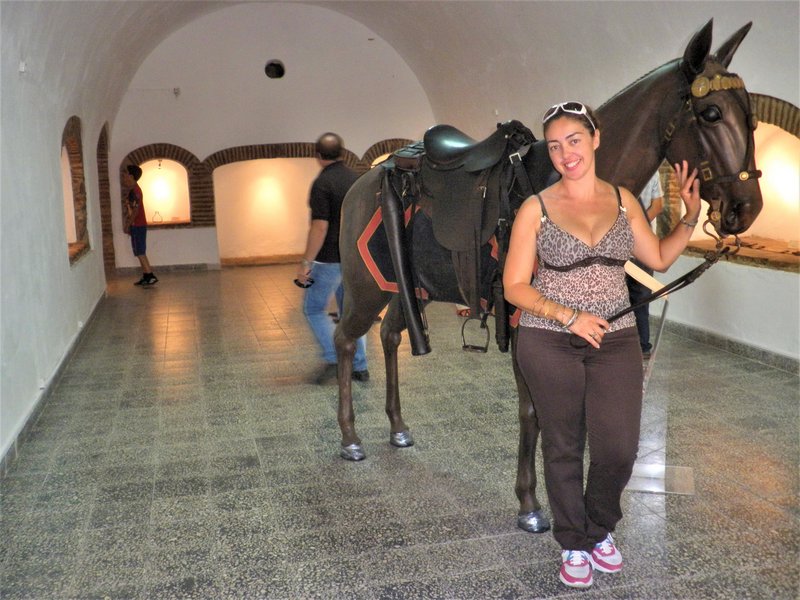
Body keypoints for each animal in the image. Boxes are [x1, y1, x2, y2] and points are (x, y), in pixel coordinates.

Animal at [330, 21, 764, 532]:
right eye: (711, 113)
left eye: (752, 117)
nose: (746, 207)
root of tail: (365, 179)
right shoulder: (524, 324)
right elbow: (534, 412)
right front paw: (531, 504)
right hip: (366, 288)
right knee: (344, 339)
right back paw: (350, 437)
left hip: (407, 288)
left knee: (392, 335)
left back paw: (397, 427)